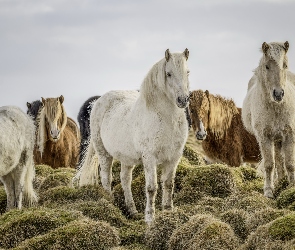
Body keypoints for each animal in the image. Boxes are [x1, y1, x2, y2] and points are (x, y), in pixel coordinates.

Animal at [243, 40, 295, 197]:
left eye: (285, 65)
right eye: (267, 66)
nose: (278, 94)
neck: (276, 107)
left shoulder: (289, 134)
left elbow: (290, 163)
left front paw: (291, 187)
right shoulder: (264, 136)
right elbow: (269, 165)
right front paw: (268, 191)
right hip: (275, 139)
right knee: (277, 160)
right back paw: (280, 181)